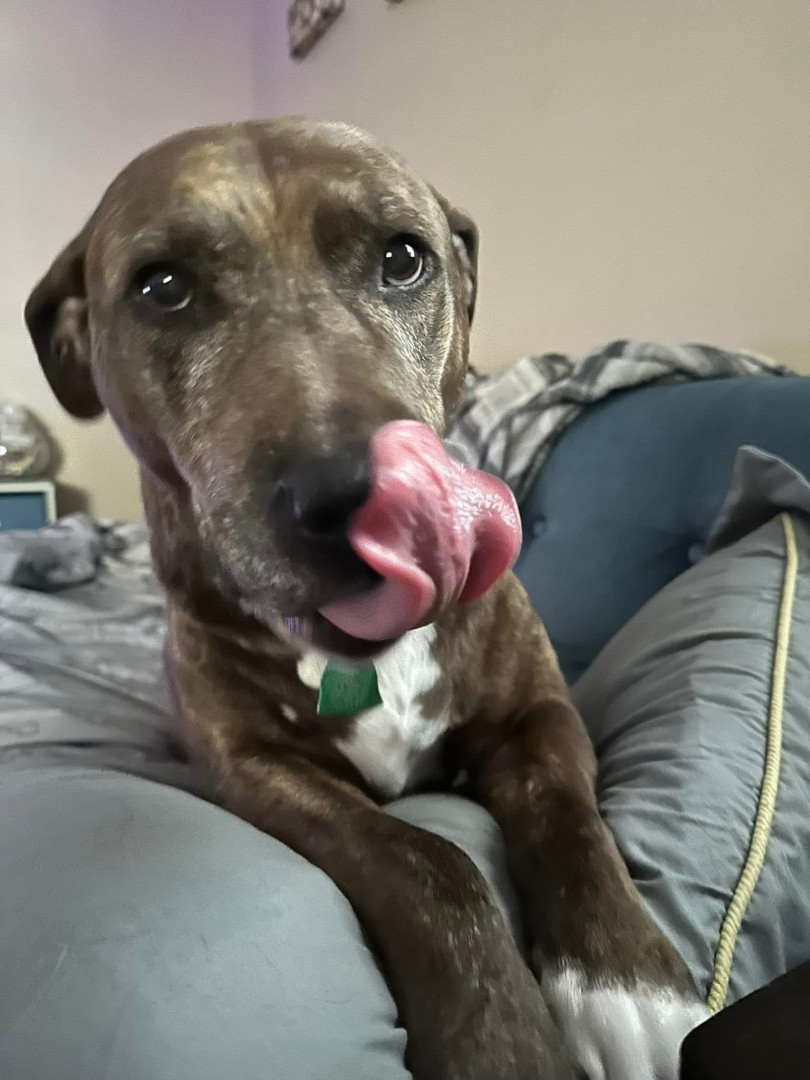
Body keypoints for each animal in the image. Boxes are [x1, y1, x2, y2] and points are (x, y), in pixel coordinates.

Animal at [26, 118, 707, 1079]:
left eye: (404, 258)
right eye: (163, 287)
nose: (352, 495)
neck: (368, 659)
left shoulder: (540, 714)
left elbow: (569, 813)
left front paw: (632, 988)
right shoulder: (258, 769)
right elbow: (427, 861)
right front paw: (502, 1042)